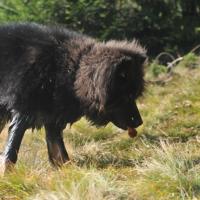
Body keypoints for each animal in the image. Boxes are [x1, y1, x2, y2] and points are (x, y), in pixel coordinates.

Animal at [0, 23, 146, 173]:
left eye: (135, 95)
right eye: (127, 97)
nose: (140, 122)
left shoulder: (53, 119)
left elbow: (59, 152)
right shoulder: (23, 114)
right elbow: (11, 151)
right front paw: (7, 174)